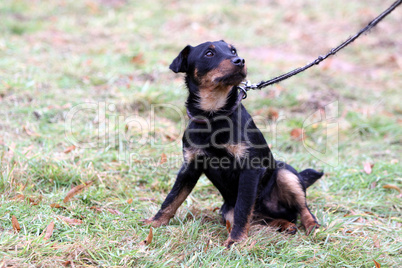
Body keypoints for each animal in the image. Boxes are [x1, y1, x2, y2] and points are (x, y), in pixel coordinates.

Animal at [144, 39, 324, 247]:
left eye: (233, 51)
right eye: (209, 53)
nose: (240, 60)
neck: (213, 114)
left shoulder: (250, 169)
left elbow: (243, 209)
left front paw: (236, 240)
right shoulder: (190, 166)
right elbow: (172, 198)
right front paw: (154, 223)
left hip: (285, 173)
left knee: (302, 208)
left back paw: (312, 226)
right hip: (227, 210)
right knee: (261, 219)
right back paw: (285, 225)